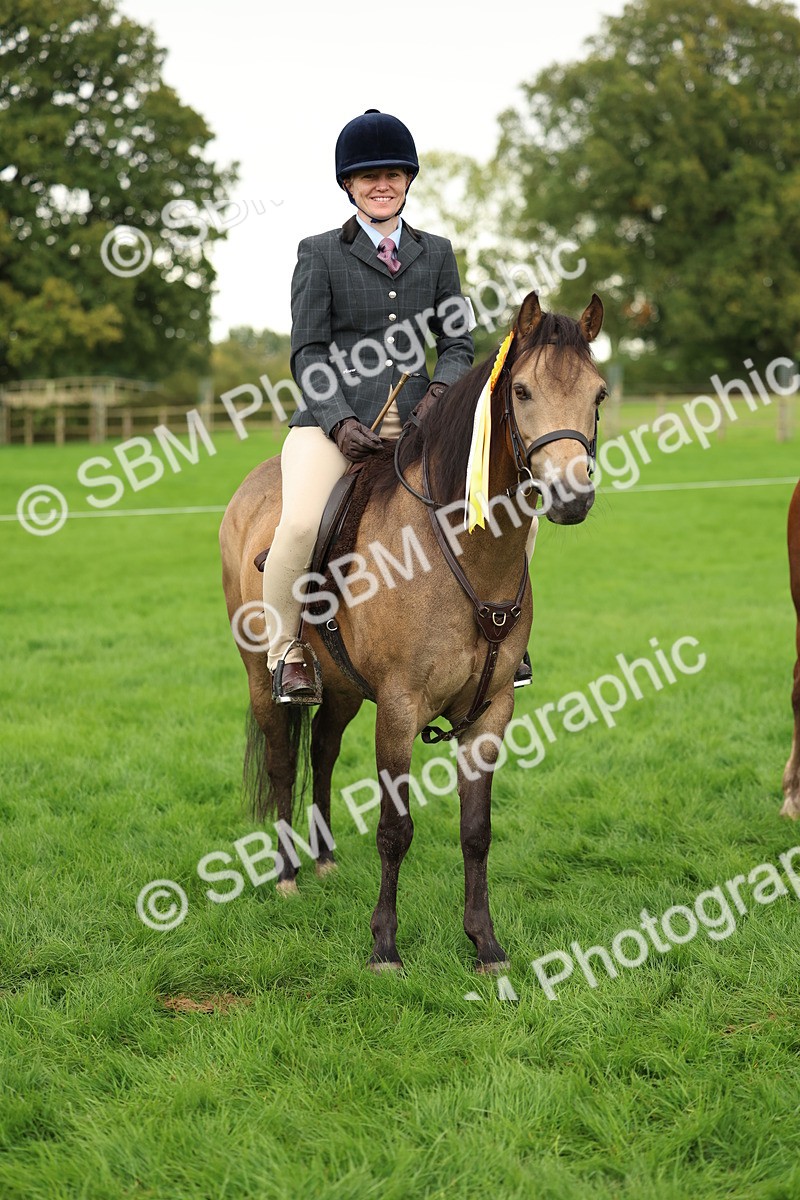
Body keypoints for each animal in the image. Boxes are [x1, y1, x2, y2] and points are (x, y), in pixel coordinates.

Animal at [219, 290, 607, 971]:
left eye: (599, 394)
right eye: (523, 390)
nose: (571, 496)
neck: (461, 553)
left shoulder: (490, 712)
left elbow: (476, 831)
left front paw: (485, 943)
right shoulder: (400, 708)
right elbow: (394, 829)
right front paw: (385, 946)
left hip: (343, 689)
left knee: (321, 750)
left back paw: (324, 861)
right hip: (262, 678)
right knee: (283, 762)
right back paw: (289, 873)